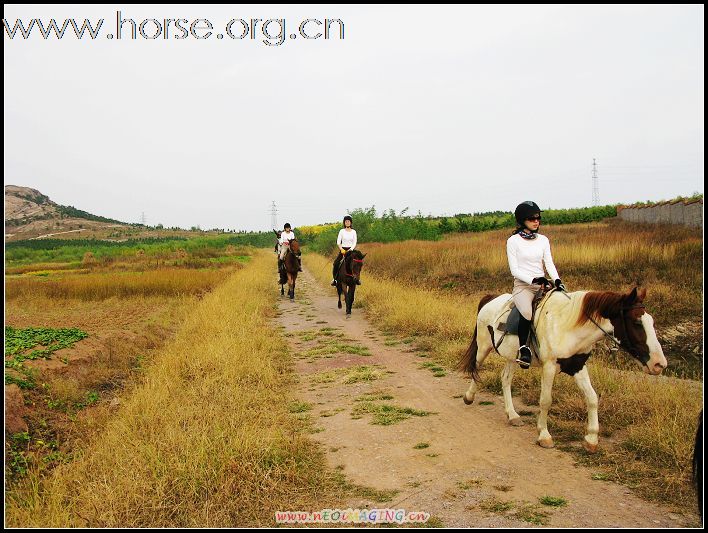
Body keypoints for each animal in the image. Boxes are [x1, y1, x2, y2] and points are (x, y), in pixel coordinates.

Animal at [462, 288, 668, 450]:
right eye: (636, 322)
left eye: (651, 321)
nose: (660, 364)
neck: (566, 326)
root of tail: (490, 298)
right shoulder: (549, 367)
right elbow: (546, 400)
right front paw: (544, 435)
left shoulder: (577, 366)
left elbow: (592, 398)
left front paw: (591, 438)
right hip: (483, 347)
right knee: (476, 368)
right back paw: (469, 397)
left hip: (512, 356)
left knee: (505, 379)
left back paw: (512, 415)